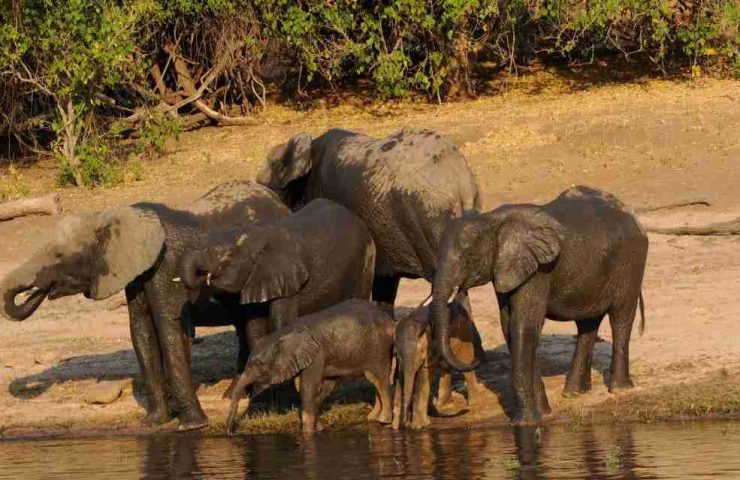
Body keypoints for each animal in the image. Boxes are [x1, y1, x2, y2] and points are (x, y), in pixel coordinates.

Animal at [0, 180, 290, 432]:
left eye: (59, 256)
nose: (39, 291)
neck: (111, 217)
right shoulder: (136, 273)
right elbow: (141, 331)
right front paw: (153, 423)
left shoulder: (165, 265)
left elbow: (168, 327)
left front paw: (191, 426)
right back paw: (231, 394)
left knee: (252, 324)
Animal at [225, 300, 396, 436]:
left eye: (258, 364)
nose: (231, 433)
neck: (284, 333)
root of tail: (389, 320)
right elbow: (325, 388)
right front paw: (319, 428)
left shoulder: (317, 355)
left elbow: (309, 387)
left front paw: (307, 433)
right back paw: (373, 418)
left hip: (378, 346)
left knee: (377, 378)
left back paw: (383, 420)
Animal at [394, 300, 486, 432]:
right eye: (397, 354)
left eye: (421, 351)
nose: (403, 426)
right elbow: (402, 379)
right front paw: (396, 427)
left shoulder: (429, 349)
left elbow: (423, 377)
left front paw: (419, 426)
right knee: (445, 367)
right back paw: (444, 405)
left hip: (464, 332)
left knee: (465, 360)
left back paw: (473, 403)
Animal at [434, 186, 648, 426]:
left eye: (470, 256)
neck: (491, 220)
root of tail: (633, 216)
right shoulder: (507, 269)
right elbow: (511, 330)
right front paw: (544, 414)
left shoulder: (537, 270)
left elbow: (523, 328)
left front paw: (524, 423)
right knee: (587, 325)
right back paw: (573, 393)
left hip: (631, 261)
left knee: (621, 317)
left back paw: (620, 390)